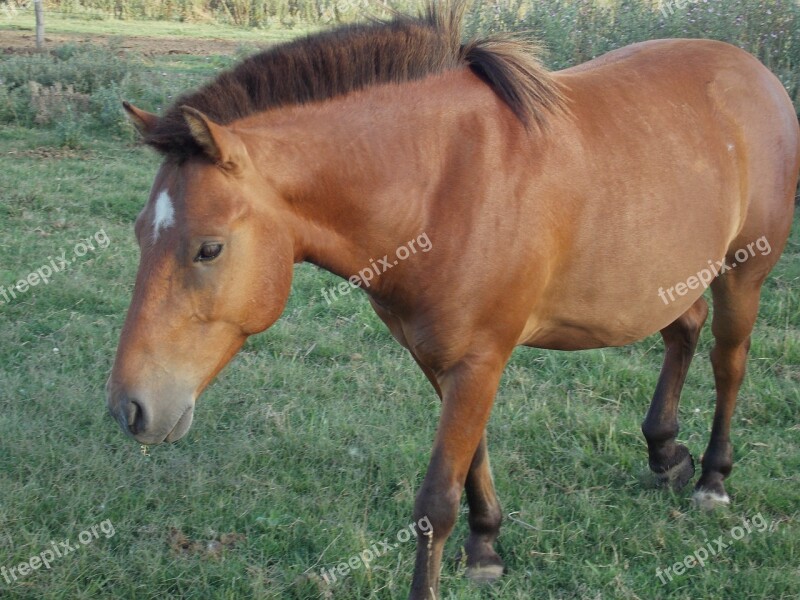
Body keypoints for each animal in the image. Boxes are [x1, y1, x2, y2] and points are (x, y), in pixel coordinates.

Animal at [108, 2, 800, 596]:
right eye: (141, 232)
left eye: (209, 249)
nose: (129, 408)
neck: (443, 182)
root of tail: (755, 72)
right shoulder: (444, 359)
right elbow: (473, 460)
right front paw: (487, 546)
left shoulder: (478, 359)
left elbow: (436, 499)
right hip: (672, 277)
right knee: (684, 328)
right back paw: (664, 450)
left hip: (743, 273)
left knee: (729, 362)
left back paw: (712, 476)